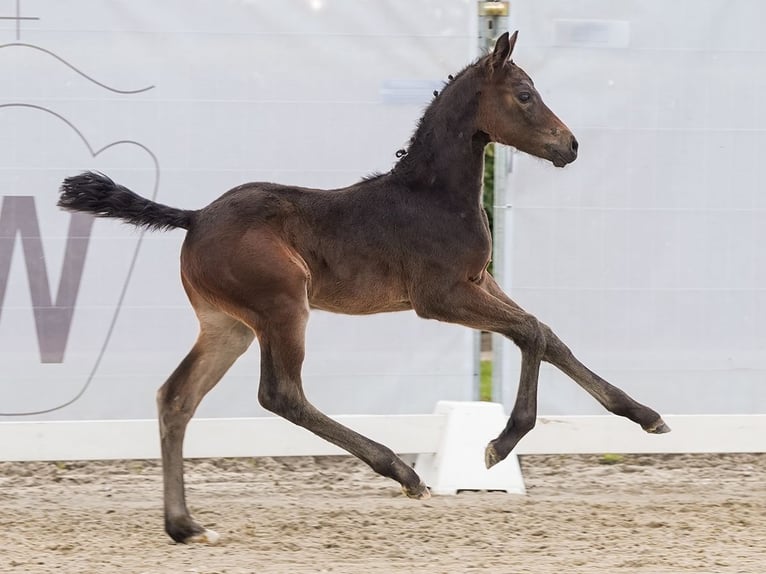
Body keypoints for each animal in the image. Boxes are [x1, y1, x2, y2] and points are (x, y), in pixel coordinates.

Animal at [57, 33, 668, 548]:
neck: (433, 197)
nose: (571, 146)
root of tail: (194, 217)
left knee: (178, 398)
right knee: (280, 394)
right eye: (524, 94)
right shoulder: (439, 297)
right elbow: (533, 332)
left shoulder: (480, 281)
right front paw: (499, 443)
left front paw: (644, 415)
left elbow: (548, 335)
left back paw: (184, 526)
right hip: (283, 306)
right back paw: (404, 472)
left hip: (228, 325)